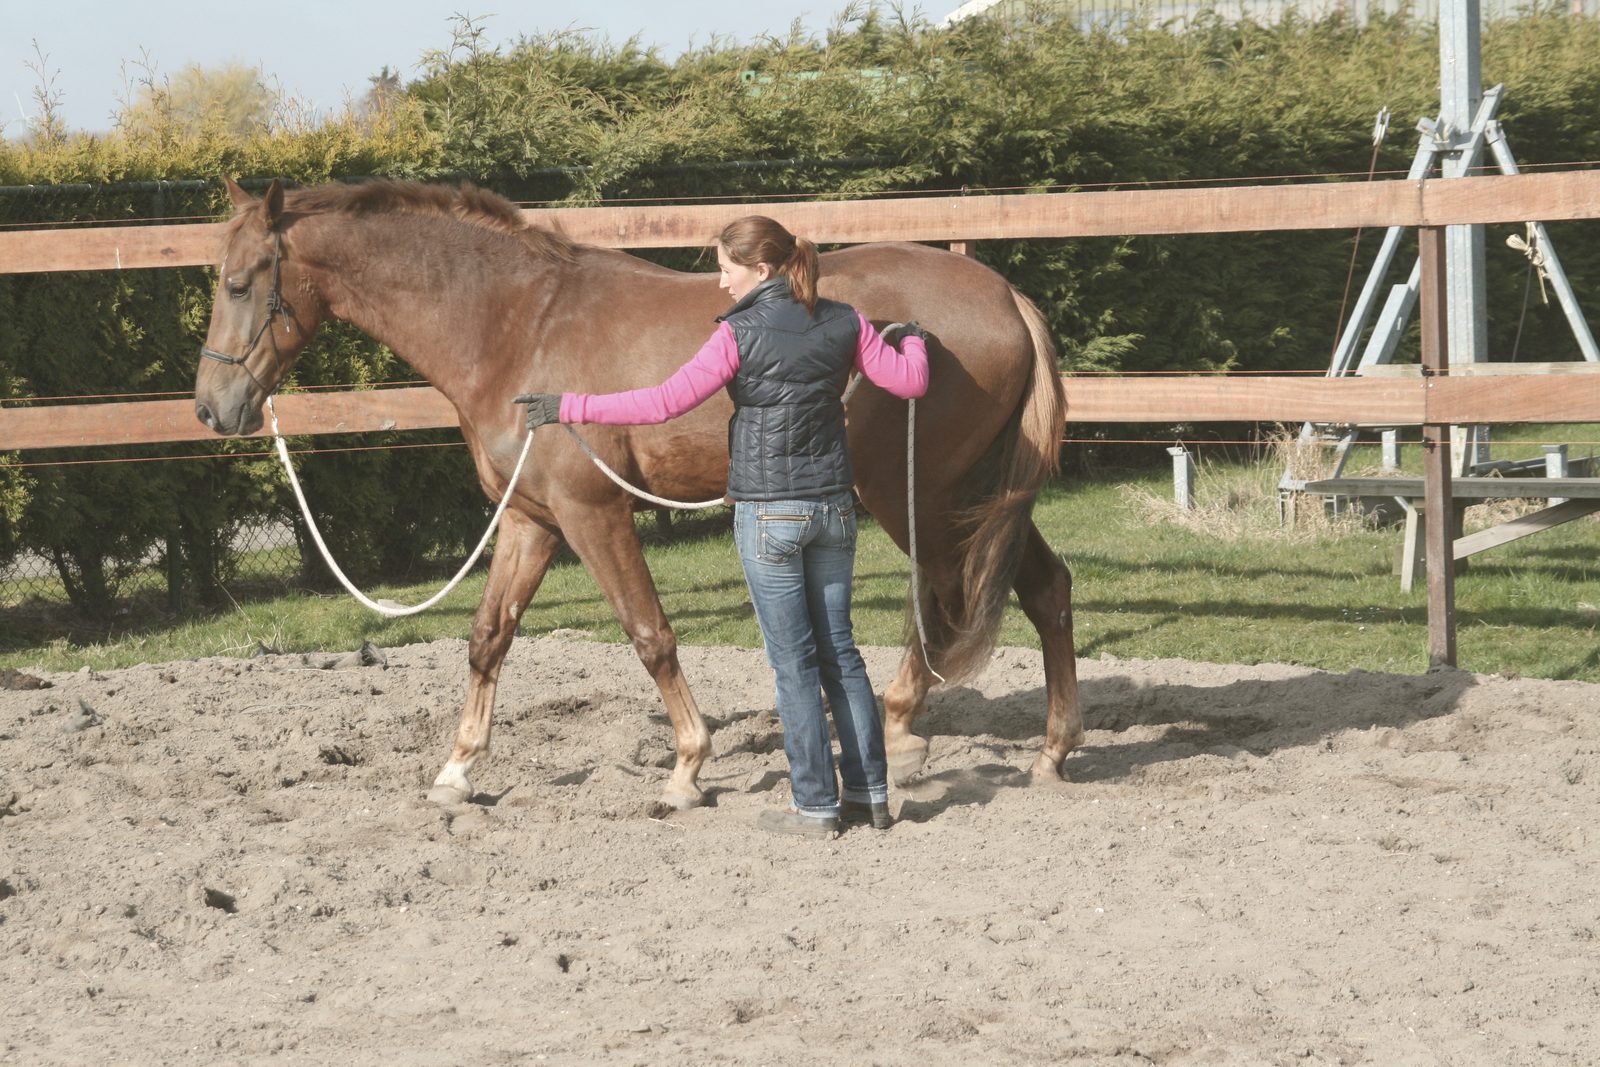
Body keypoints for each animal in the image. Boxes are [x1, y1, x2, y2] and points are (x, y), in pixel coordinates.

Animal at [194, 177, 1083, 810]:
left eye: (239, 283)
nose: (212, 408)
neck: (516, 327)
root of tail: (1006, 296)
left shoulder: (593, 514)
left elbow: (649, 632)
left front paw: (688, 766)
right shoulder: (531, 519)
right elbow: (488, 637)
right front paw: (456, 771)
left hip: (917, 495)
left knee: (945, 598)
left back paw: (903, 730)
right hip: (979, 496)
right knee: (1045, 588)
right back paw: (1051, 752)